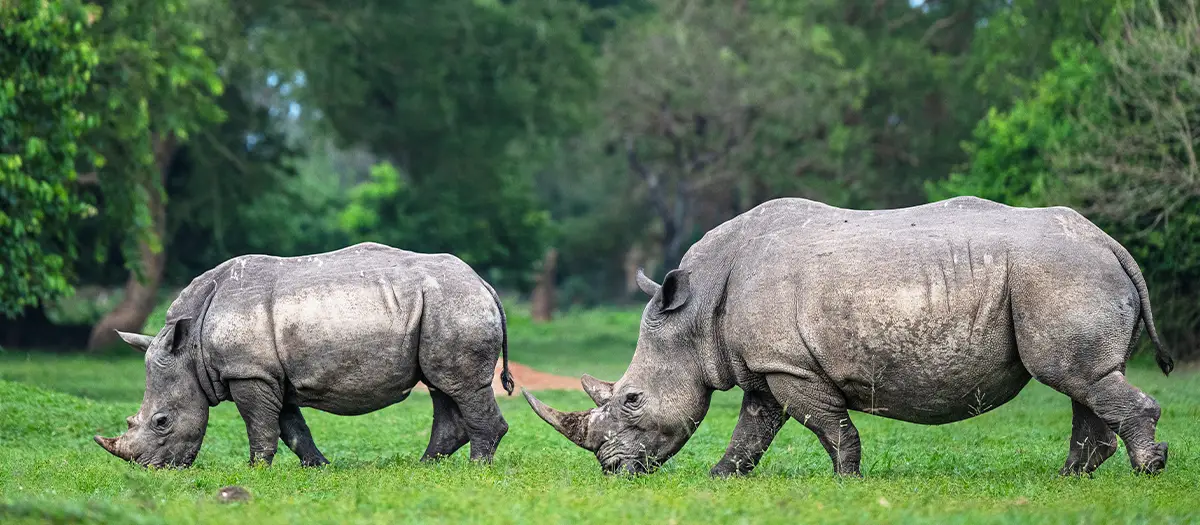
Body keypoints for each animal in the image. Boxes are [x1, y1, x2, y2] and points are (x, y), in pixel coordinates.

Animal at [95, 242, 514, 468]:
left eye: (162, 422)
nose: (154, 470)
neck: (191, 350)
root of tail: (484, 283)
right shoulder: (269, 374)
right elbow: (291, 428)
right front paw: (320, 467)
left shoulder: (249, 372)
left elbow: (261, 426)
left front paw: (255, 471)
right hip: (443, 306)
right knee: (443, 385)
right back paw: (426, 467)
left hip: (455, 304)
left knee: (460, 386)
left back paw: (475, 470)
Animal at [525, 196, 1174, 477]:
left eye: (632, 399)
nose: (612, 470)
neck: (695, 312)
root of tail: (1110, 243)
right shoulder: (767, 365)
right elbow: (752, 429)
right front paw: (721, 480)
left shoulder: (791, 366)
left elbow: (829, 426)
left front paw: (846, 481)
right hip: (1066, 272)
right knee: (1084, 381)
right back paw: (1072, 478)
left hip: (1059, 273)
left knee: (1075, 376)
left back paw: (1146, 470)